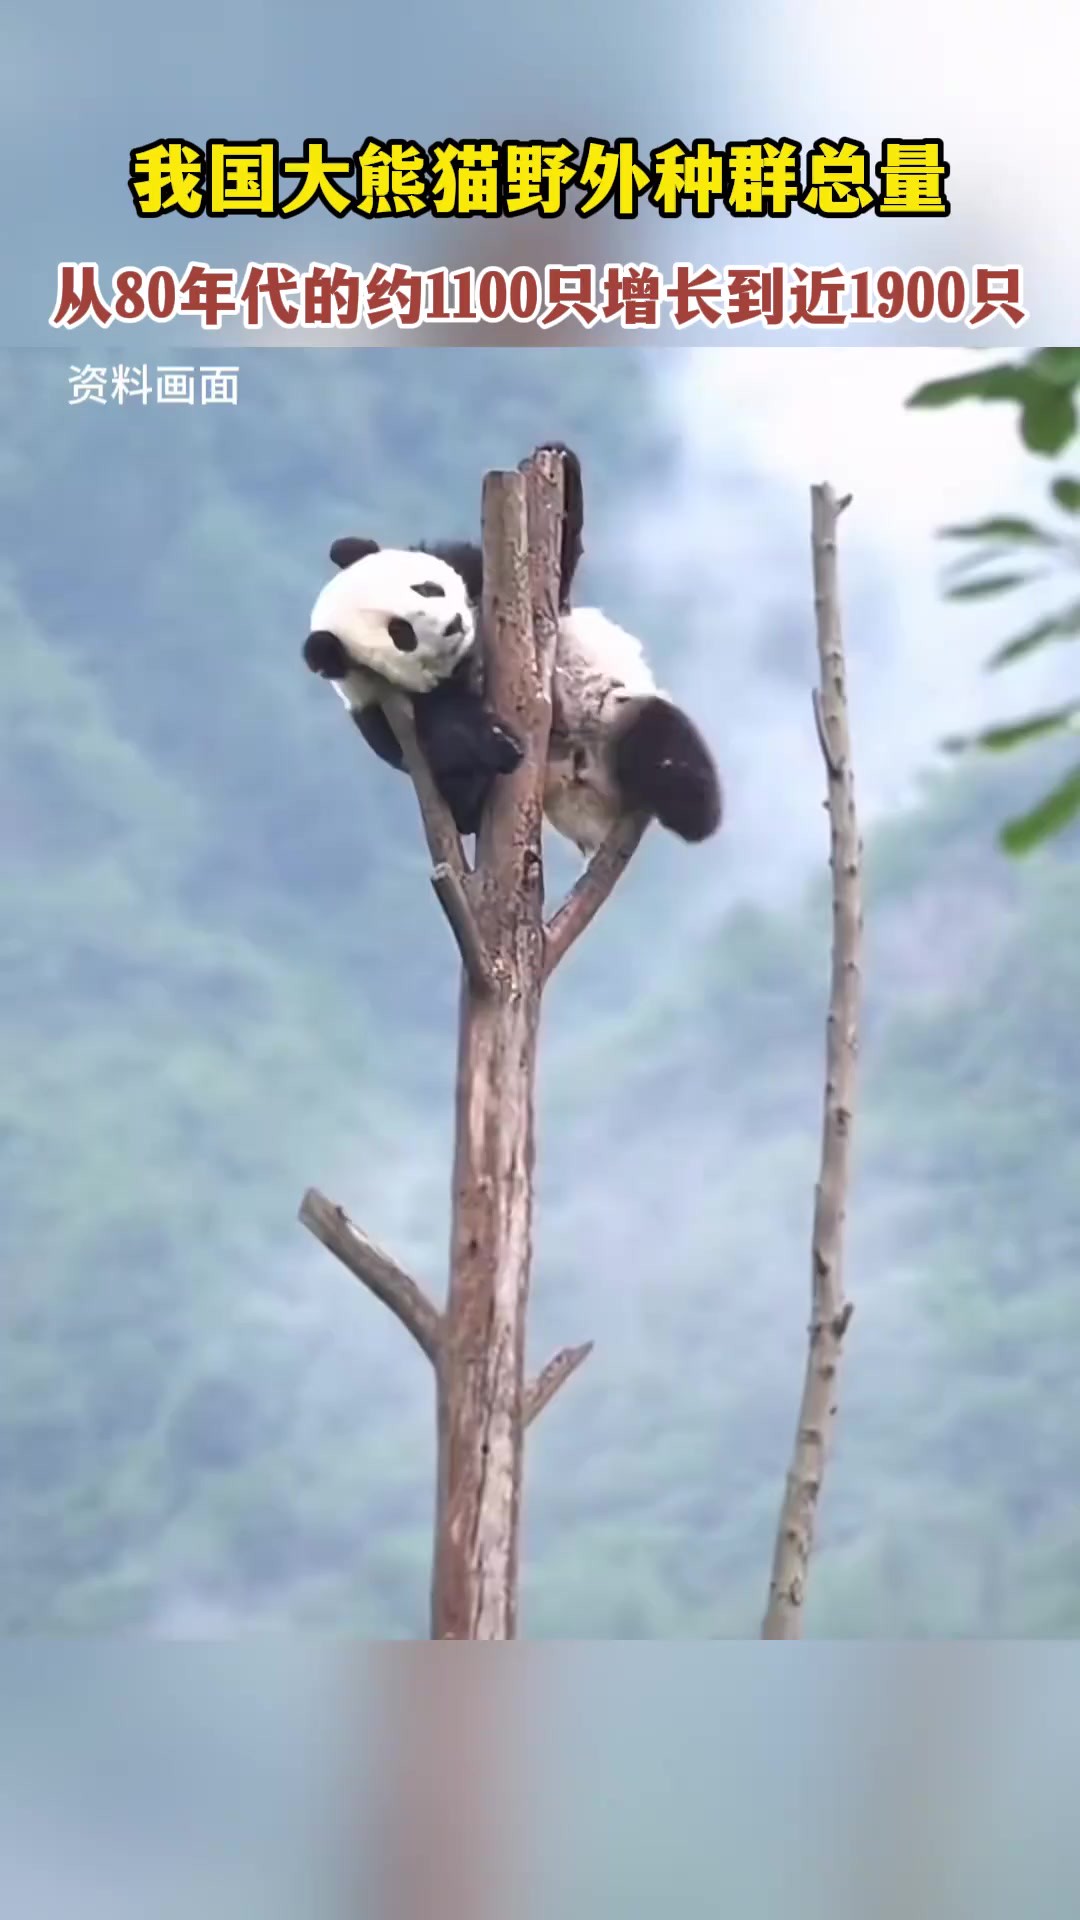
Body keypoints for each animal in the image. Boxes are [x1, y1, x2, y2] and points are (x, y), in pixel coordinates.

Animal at [303, 441, 718, 856]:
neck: (468, 655)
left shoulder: (474, 569)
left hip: (611, 715)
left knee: (665, 739)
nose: (453, 625)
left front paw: (559, 458)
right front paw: (493, 741)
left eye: (426, 588)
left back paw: (688, 802)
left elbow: (555, 576)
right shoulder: (381, 709)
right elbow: (444, 752)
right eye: (401, 632)